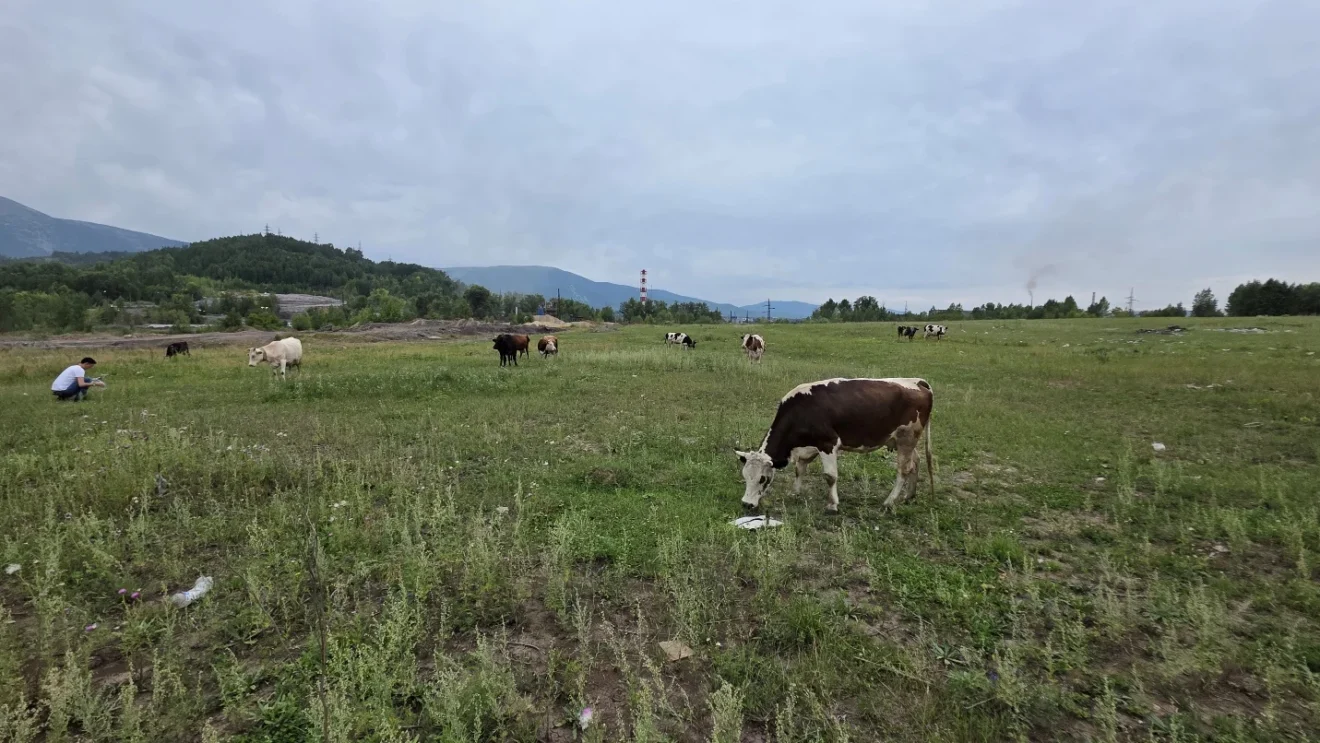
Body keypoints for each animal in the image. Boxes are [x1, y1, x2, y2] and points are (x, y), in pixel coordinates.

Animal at [735, 377, 935, 514]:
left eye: (762, 478)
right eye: (745, 476)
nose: (746, 504)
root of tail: (917, 382)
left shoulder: (828, 443)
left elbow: (830, 476)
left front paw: (832, 505)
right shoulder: (810, 447)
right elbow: (800, 468)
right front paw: (796, 492)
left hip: (906, 438)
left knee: (904, 469)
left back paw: (889, 501)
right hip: (905, 441)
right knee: (915, 462)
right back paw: (909, 496)